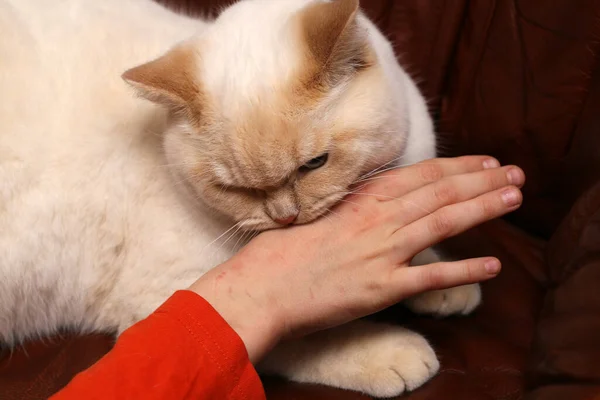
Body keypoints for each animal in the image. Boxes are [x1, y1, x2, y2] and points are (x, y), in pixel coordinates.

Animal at [0, 0, 478, 396]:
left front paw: (446, 282)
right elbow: (303, 335)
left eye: (314, 164)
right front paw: (388, 351)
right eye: (234, 189)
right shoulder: (165, 295)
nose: (285, 217)